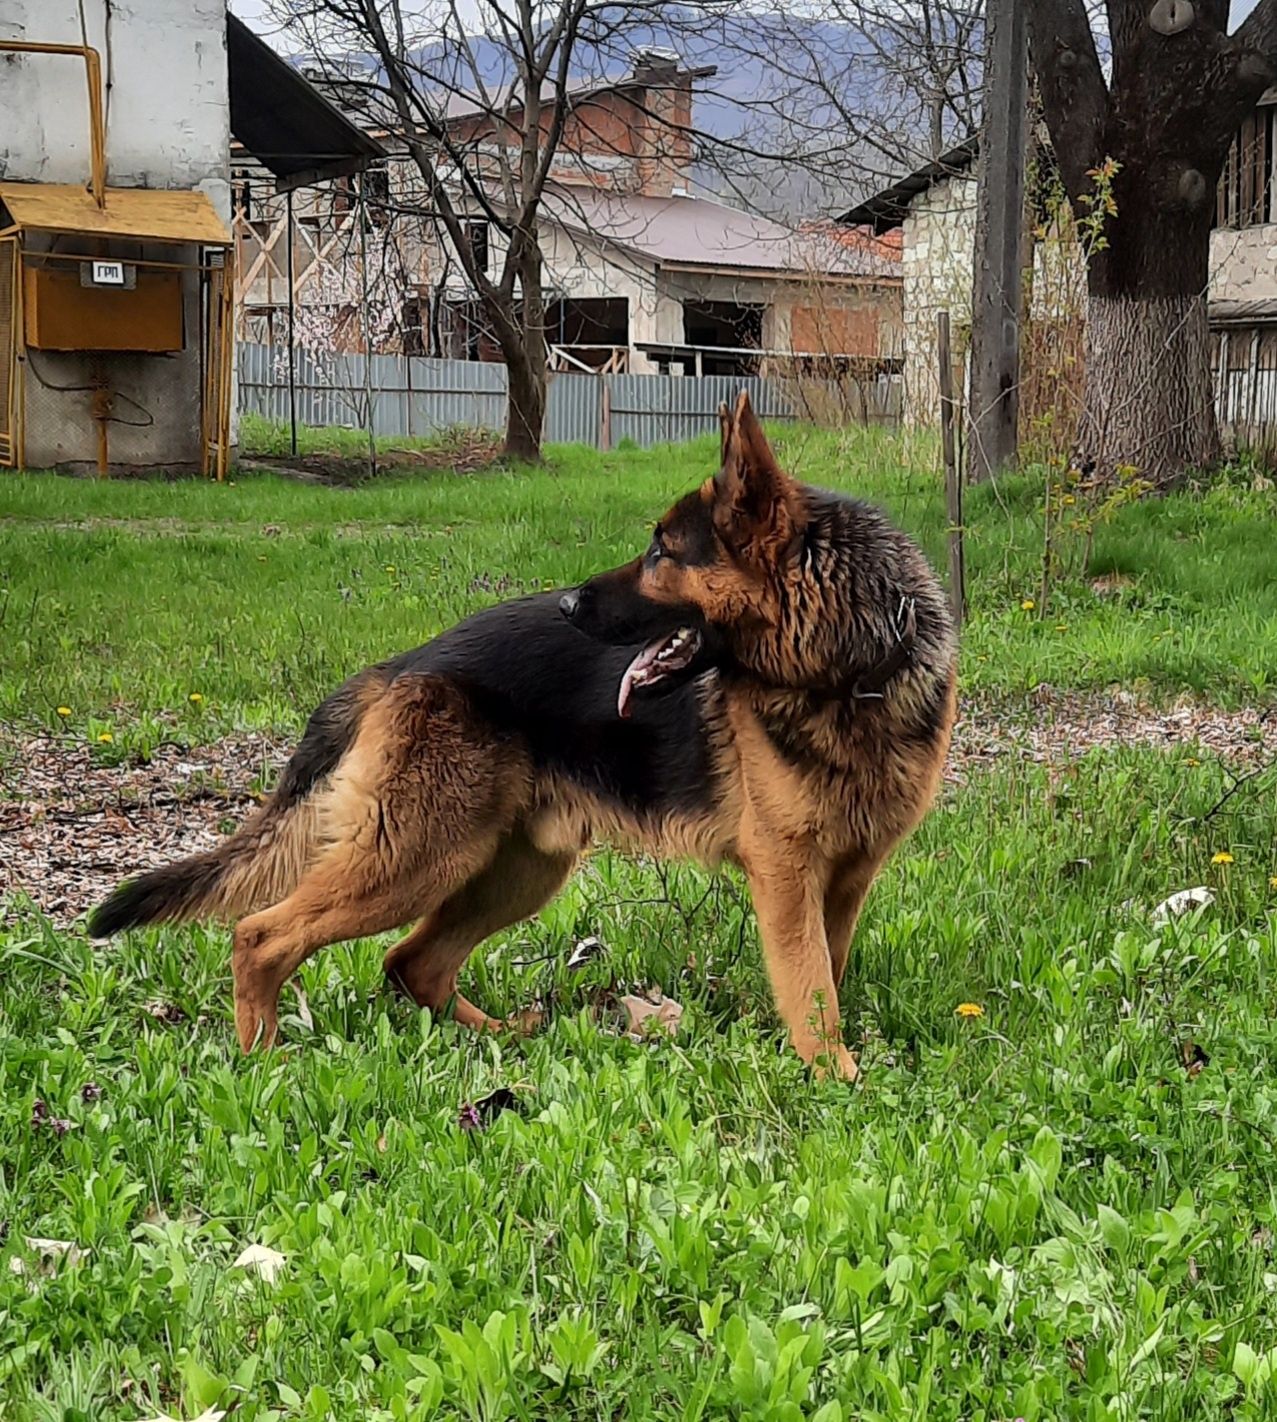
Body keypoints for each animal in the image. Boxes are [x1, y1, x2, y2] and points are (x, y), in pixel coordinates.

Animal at [89, 389, 949, 1075]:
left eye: (661, 553)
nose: (567, 604)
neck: (849, 671)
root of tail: (403, 662)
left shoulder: (845, 880)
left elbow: (826, 974)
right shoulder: (786, 877)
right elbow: (810, 990)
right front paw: (836, 1079)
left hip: (513, 870)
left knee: (411, 962)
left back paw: (504, 1036)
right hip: (416, 857)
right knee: (262, 934)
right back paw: (261, 1059)